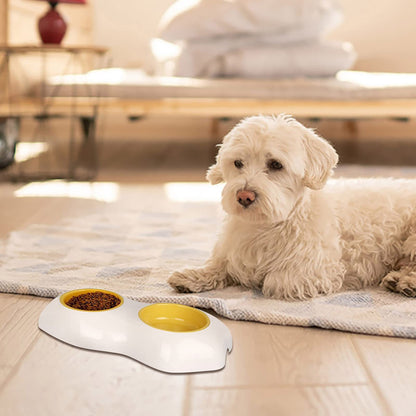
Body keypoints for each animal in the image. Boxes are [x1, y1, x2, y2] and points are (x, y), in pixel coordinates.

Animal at [167, 114, 416, 300]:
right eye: (238, 163)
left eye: (276, 164)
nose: (244, 196)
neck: (266, 226)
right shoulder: (232, 249)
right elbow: (219, 264)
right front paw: (193, 276)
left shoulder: (318, 268)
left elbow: (274, 280)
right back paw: (396, 279)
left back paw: (407, 283)